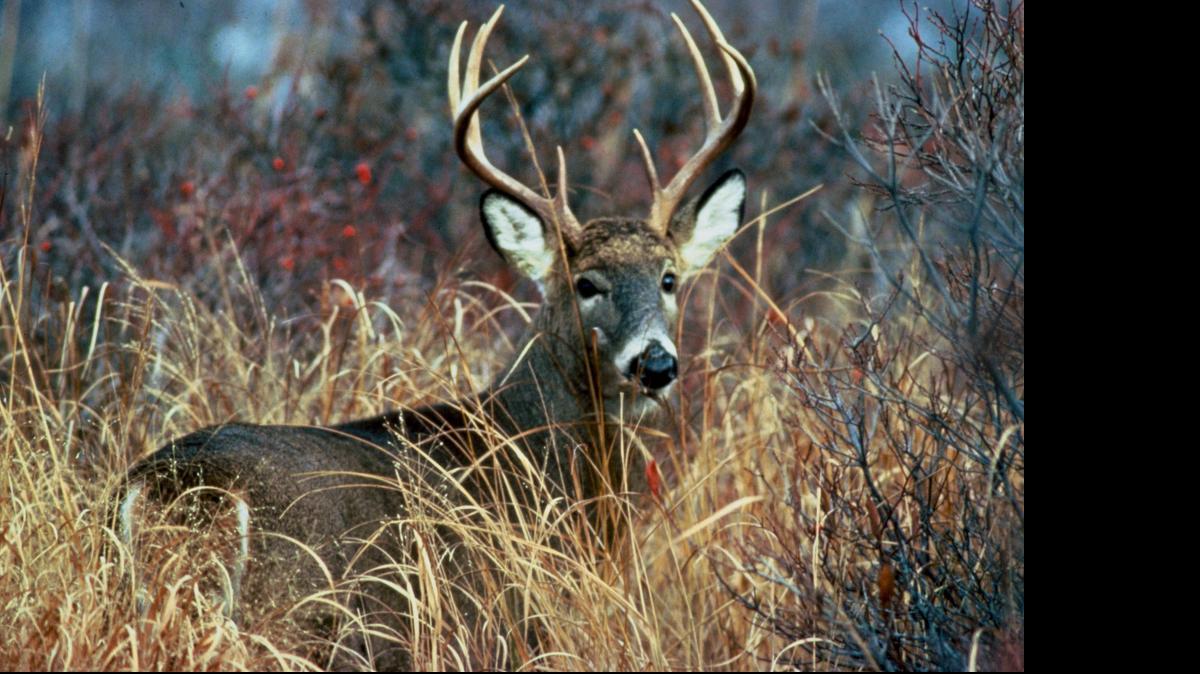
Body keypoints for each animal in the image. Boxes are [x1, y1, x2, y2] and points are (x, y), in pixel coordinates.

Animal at [119, 0, 755, 668]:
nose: (655, 365)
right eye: (586, 283)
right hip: (298, 618)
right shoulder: (503, 625)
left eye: (669, 278)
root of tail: (179, 487)